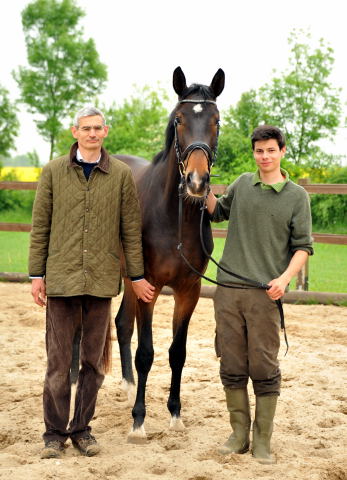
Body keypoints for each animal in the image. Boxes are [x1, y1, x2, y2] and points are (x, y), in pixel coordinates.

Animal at [114, 67, 226, 442]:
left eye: (216, 121)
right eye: (178, 120)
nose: (196, 182)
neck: (172, 219)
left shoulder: (189, 290)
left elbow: (178, 352)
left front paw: (175, 414)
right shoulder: (148, 284)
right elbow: (146, 353)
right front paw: (138, 421)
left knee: (122, 323)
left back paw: (125, 385)